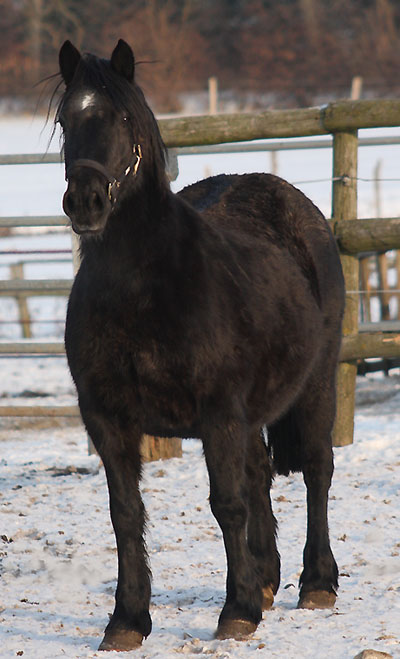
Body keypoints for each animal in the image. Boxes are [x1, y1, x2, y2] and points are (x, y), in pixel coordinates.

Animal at [57, 38, 345, 651]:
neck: (145, 289)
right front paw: (127, 620)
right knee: (261, 472)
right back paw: (267, 580)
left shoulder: (217, 413)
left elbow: (226, 503)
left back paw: (315, 582)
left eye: (121, 118)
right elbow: (125, 513)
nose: (86, 202)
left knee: (317, 469)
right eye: (67, 119)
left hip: (315, 383)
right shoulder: (107, 419)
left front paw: (236, 611)